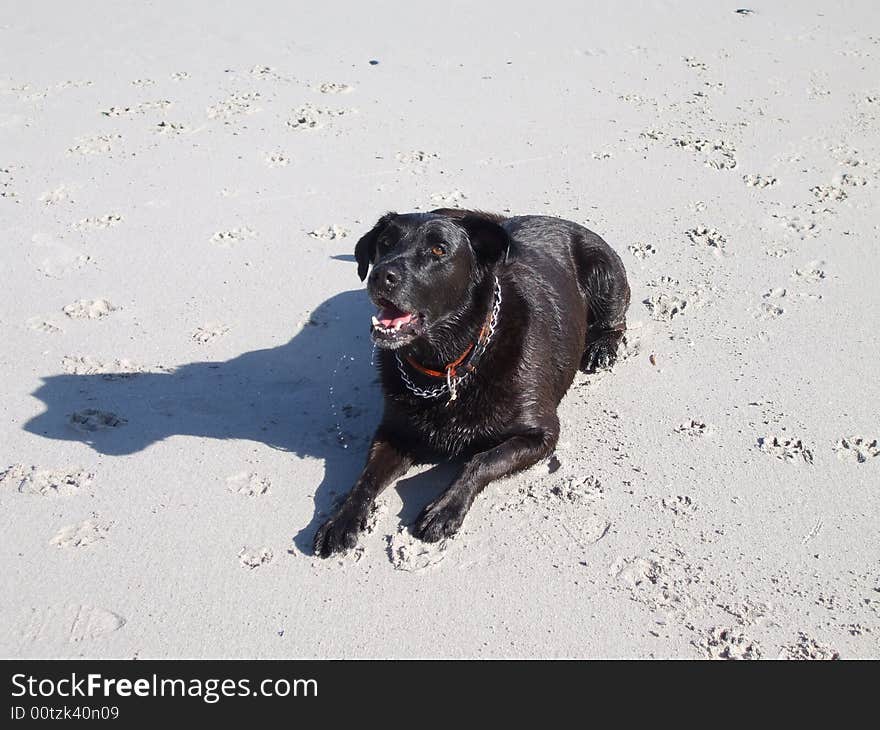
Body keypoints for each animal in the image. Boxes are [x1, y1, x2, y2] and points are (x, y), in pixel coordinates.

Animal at [312, 208, 628, 556]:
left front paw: (445, 507)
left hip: (605, 275)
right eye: (385, 243)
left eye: (439, 250)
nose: (381, 275)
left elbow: (482, 459)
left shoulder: (542, 433)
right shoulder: (394, 433)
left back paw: (601, 347)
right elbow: (366, 477)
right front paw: (341, 519)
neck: (447, 364)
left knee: (616, 319)